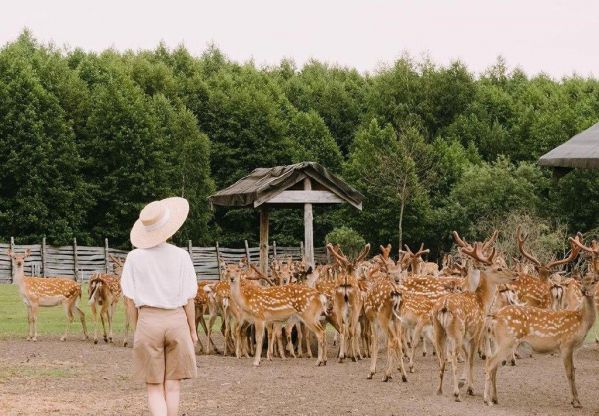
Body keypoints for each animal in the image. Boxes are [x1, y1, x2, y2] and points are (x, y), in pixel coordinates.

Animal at [432, 232, 516, 402]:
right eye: (498, 268)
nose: (514, 275)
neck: (482, 300)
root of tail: (444, 307)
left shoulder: (468, 335)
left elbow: (467, 357)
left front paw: (467, 384)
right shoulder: (477, 331)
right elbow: (470, 359)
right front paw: (470, 388)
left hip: (439, 330)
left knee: (442, 358)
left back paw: (439, 390)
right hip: (456, 331)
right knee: (452, 357)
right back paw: (456, 393)